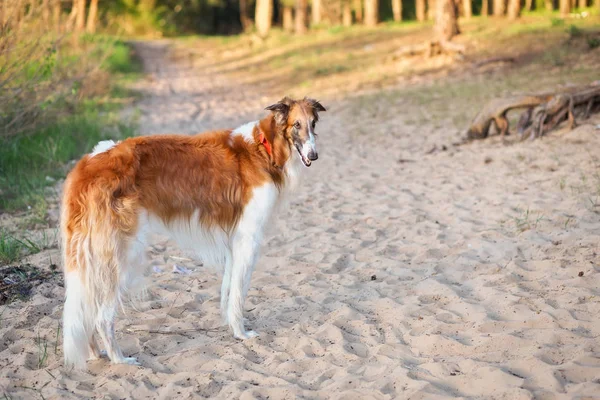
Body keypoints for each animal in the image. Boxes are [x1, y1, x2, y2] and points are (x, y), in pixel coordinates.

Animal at [58, 96, 326, 368]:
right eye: (296, 125)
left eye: (313, 123)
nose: (313, 156)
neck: (264, 148)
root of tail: (87, 165)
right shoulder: (248, 239)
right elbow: (239, 294)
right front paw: (242, 333)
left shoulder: (234, 243)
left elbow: (228, 291)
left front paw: (232, 328)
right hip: (120, 257)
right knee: (102, 317)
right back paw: (120, 359)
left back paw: (96, 353)